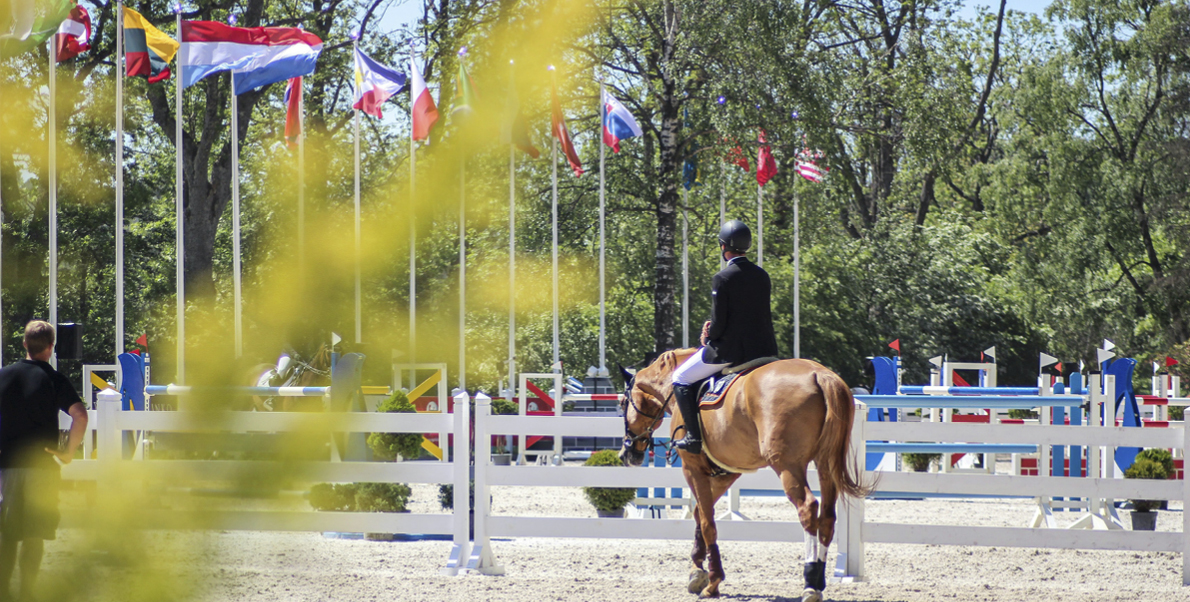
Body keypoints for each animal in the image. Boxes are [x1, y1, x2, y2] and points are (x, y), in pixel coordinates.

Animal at [618, 349, 871, 599]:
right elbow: (700, 512)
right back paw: (818, 579)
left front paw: (712, 581)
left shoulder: (692, 468)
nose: (626, 453)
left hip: (788, 466)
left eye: (622, 404)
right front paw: (697, 571)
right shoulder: (728, 472)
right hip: (825, 464)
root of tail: (819, 374)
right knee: (827, 516)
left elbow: (707, 521)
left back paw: (810, 583)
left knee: (808, 508)